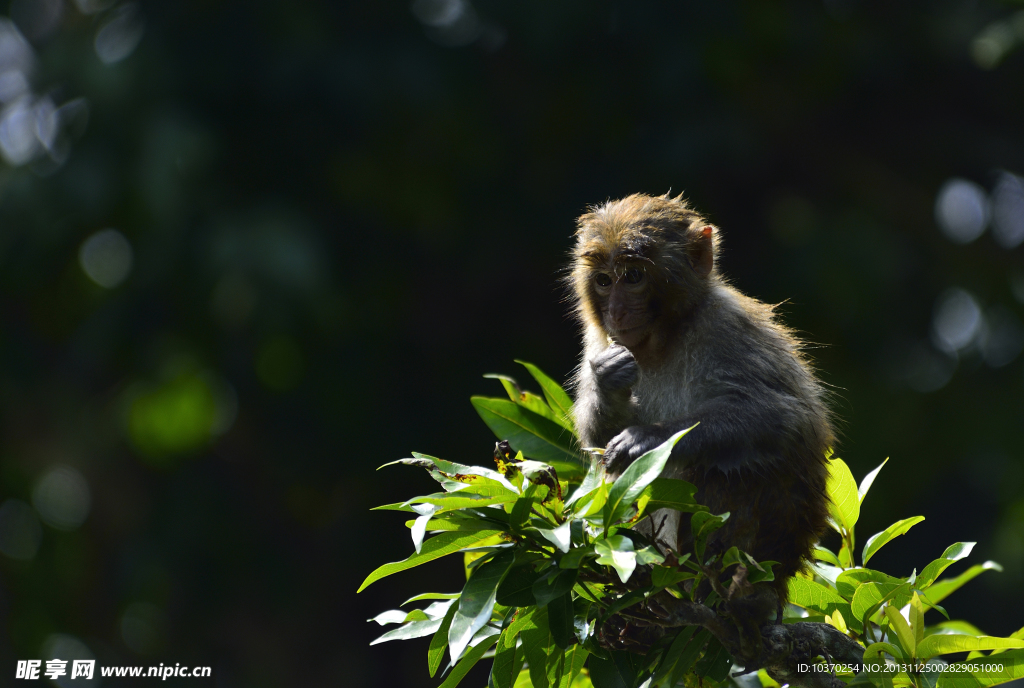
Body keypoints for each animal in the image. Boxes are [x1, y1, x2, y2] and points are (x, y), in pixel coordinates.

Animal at [569, 190, 831, 630]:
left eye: (633, 276)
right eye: (604, 281)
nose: (616, 312)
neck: (664, 339)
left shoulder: (727, 326)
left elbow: (789, 420)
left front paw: (648, 439)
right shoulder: (598, 340)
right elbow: (599, 445)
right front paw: (608, 382)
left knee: (728, 468)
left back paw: (733, 598)